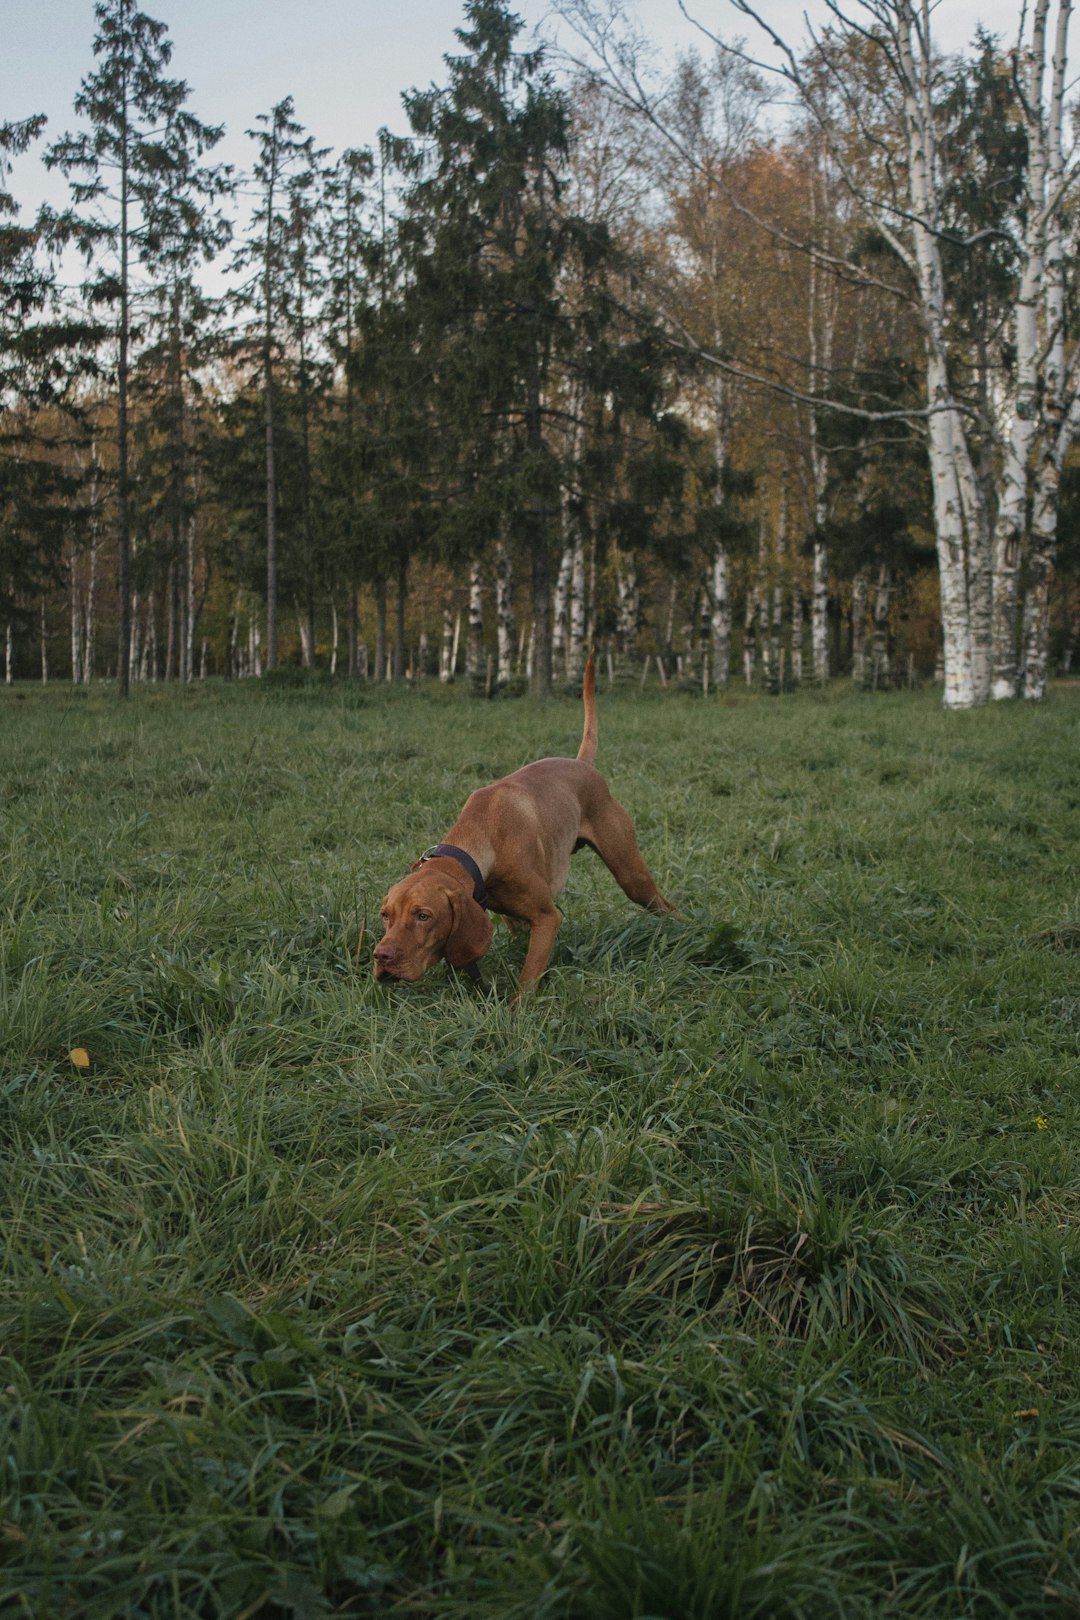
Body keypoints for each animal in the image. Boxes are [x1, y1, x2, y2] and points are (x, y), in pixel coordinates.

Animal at [374, 651, 676, 991]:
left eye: (423, 916)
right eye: (386, 915)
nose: (381, 956)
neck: (481, 840)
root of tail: (582, 764)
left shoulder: (547, 918)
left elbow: (527, 980)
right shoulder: (511, 917)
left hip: (632, 876)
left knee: (666, 906)